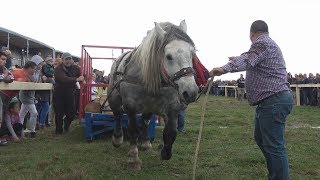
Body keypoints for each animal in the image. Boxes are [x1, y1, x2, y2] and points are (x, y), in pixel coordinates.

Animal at [108, 20, 198, 169]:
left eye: (192, 53)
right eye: (168, 56)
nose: (191, 92)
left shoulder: (172, 105)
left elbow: (171, 132)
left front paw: (165, 153)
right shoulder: (130, 105)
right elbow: (133, 130)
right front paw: (133, 158)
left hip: (149, 105)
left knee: (145, 120)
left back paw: (145, 142)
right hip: (114, 98)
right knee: (117, 115)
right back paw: (117, 138)